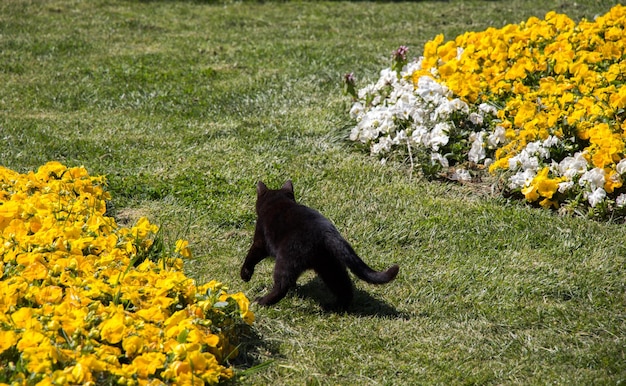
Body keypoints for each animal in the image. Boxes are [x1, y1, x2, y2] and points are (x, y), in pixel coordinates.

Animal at [241, 181, 398, 308]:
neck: (278, 201)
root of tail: (326, 232)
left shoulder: (260, 242)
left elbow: (251, 257)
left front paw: (245, 275)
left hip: (287, 261)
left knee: (281, 286)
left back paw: (262, 301)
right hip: (329, 265)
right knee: (344, 287)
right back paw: (335, 307)